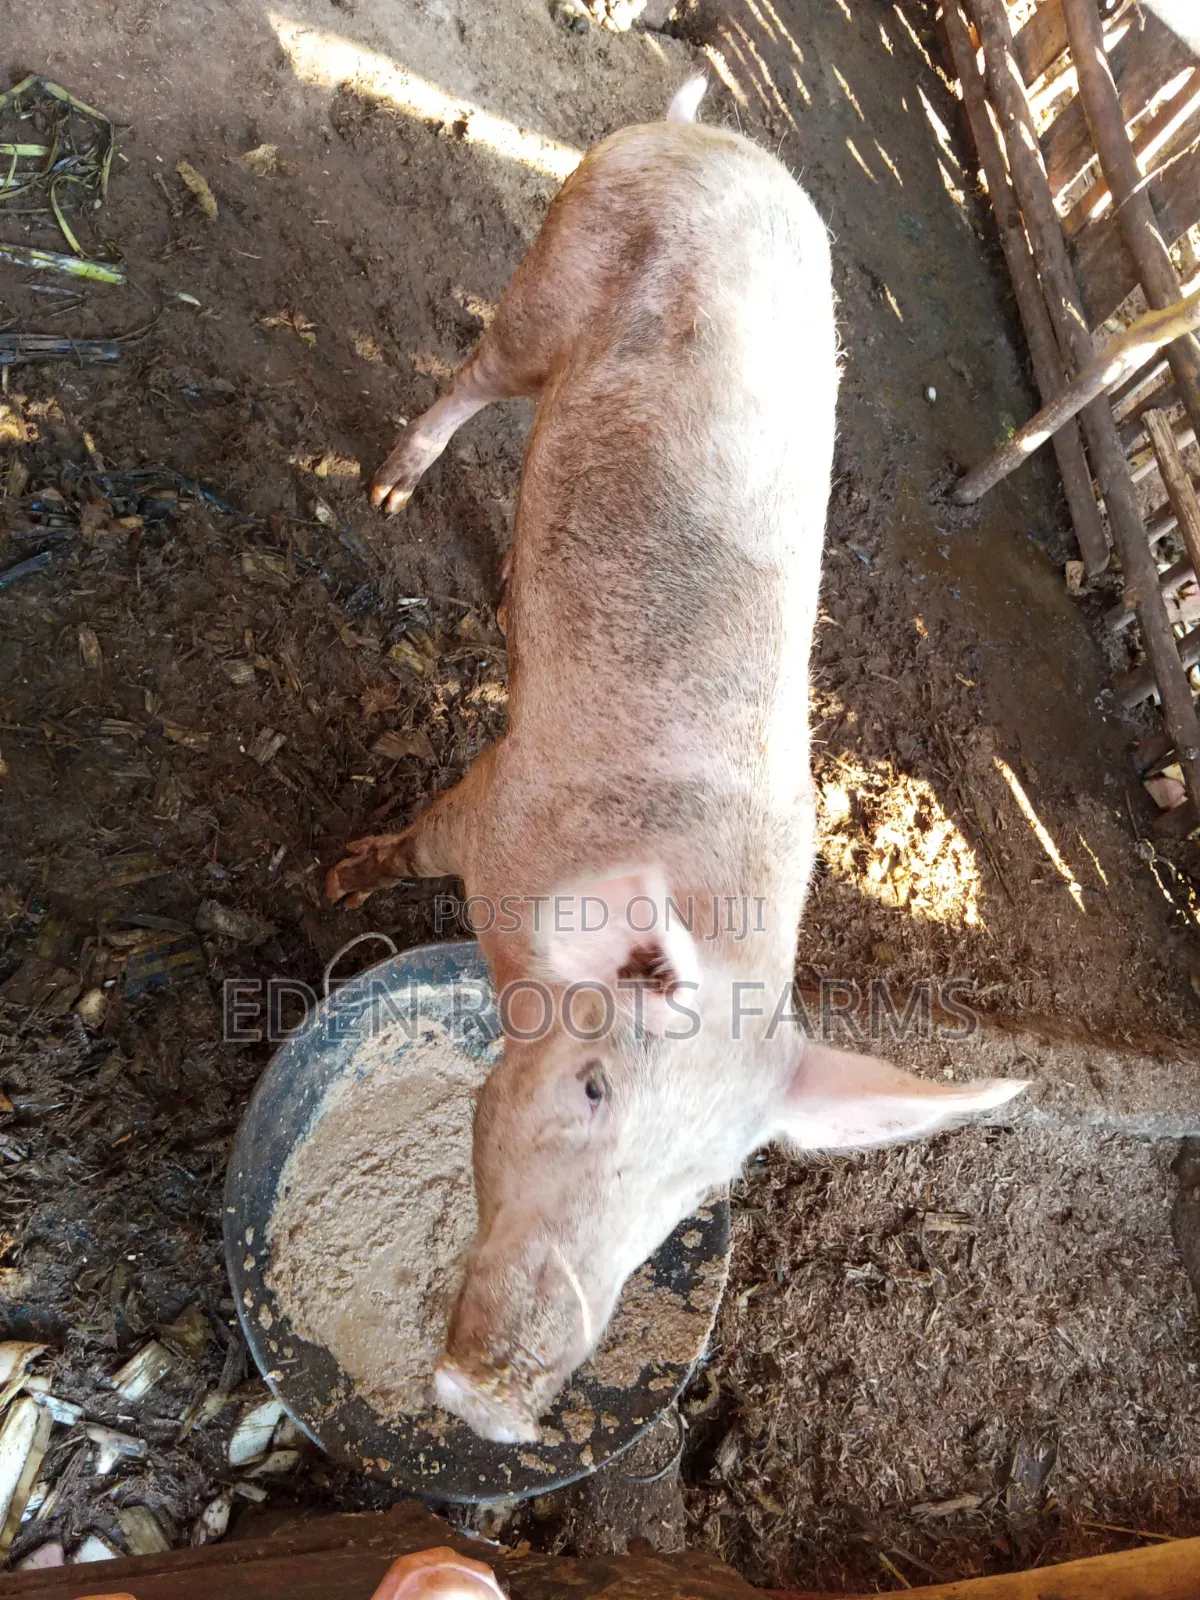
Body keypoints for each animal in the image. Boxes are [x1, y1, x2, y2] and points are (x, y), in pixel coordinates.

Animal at [327, 79, 1027, 1443]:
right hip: (558, 265)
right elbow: (411, 842)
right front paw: (336, 877)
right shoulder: (496, 799)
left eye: (702, 1183)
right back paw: (386, 495)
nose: (499, 1400)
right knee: (486, 366)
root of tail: (711, 134)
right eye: (597, 1087)